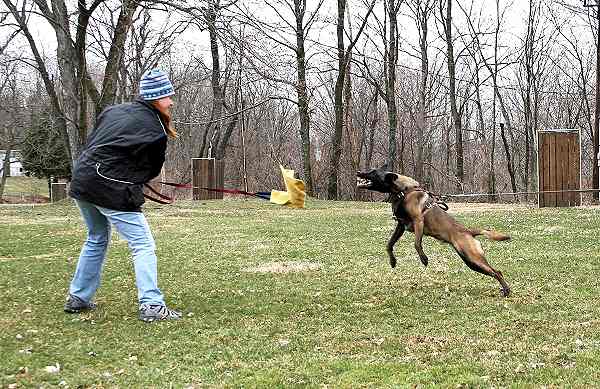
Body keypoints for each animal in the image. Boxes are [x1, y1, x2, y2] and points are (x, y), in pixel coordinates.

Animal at [356, 165, 510, 296]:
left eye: (373, 172)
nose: (358, 172)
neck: (404, 190)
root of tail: (468, 231)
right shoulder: (400, 226)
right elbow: (389, 244)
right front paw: (393, 261)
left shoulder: (418, 221)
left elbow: (417, 243)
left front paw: (424, 259)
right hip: (470, 262)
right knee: (497, 272)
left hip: (473, 257)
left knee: (497, 272)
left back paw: (506, 291)